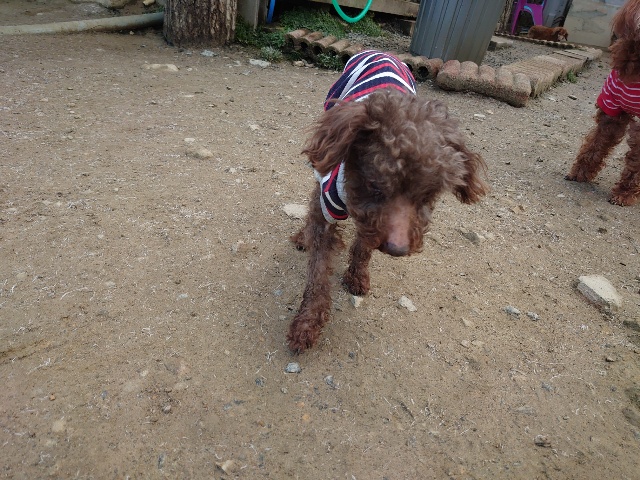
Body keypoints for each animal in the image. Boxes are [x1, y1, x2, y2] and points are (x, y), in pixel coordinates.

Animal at [287, 50, 488, 352]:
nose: (397, 249)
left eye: (428, 195)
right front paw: (307, 324)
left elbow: (363, 247)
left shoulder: (372, 221)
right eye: (375, 185)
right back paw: (303, 236)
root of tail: (384, 52)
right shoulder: (329, 202)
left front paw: (357, 276)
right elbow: (318, 272)